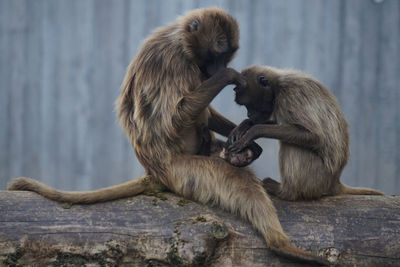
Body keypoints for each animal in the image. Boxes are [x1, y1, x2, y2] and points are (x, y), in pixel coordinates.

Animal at [7, 8, 328, 266]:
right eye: (219, 50)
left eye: (227, 53)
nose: (218, 68)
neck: (181, 43)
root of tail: (154, 170)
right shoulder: (172, 61)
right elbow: (172, 121)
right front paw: (227, 78)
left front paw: (248, 138)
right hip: (183, 170)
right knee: (238, 180)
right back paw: (280, 245)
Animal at [227, 65, 382, 201]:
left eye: (250, 105)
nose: (249, 114)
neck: (278, 84)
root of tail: (335, 180)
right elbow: (278, 122)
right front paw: (245, 125)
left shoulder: (290, 94)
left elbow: (315, 137)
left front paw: (253, 131)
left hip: (316, 178)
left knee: (290, 144)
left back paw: (286, 193)